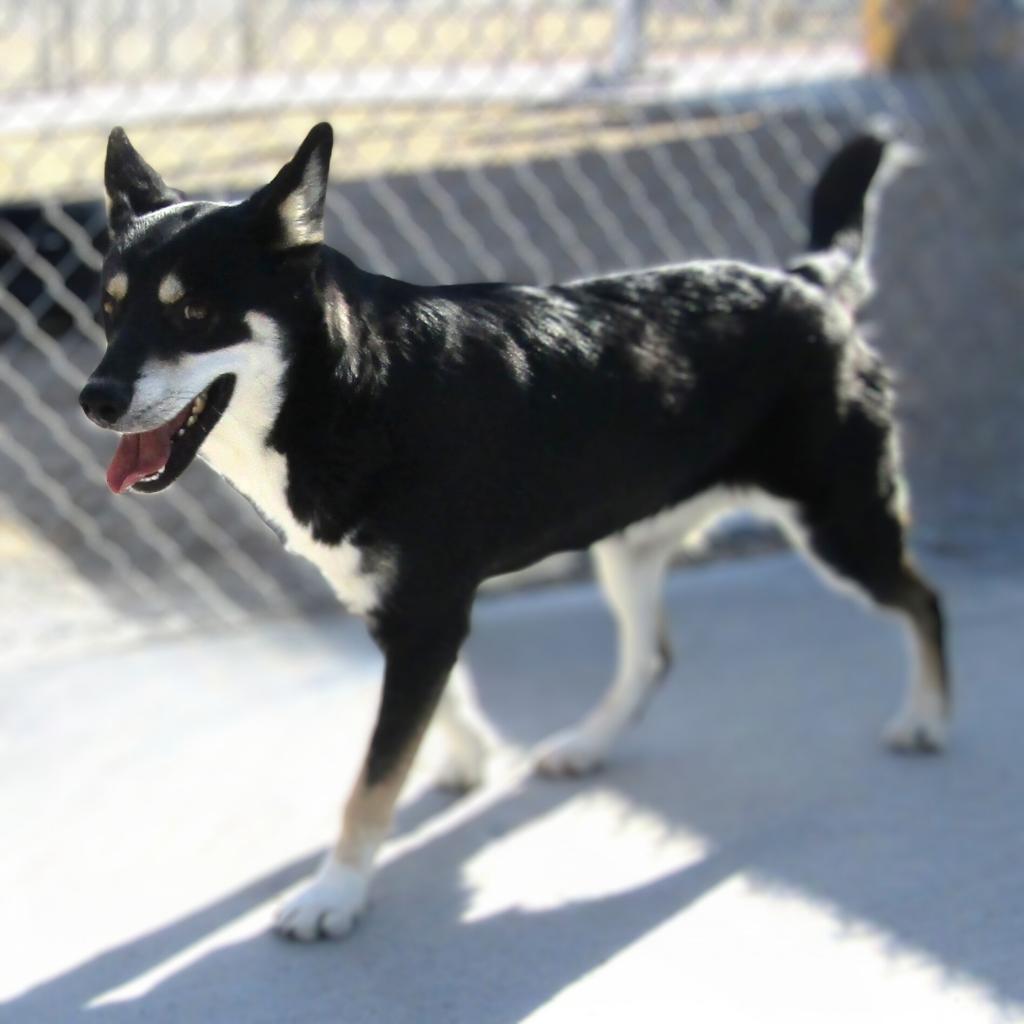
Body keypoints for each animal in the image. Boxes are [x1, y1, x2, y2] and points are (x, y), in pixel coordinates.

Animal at [81, 125, 950, 942]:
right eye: (109, 310)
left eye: (194, 312)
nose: (94, 398)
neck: (345, 388)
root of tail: (805, 282)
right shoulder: (406, 610)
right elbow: (432, 711)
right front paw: (469, 759)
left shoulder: (428, 612)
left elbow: (373, 777)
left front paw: (337, 893)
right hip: (628, 545)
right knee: (653, 658)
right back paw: (588, 743)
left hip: (841, 529)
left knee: (925, 601)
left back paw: (927, 719)